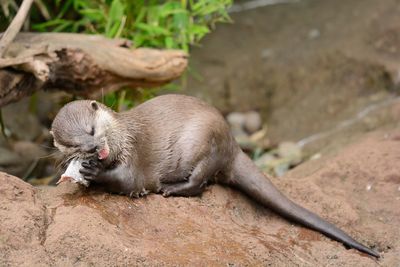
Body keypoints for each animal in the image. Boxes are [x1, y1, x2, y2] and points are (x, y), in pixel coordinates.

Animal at [51, 94, 380, 258]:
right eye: (73, 144)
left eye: (92, 130)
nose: (93, 148)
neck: (122, 136)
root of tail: (232, 142)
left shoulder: (134, 155)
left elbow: (131, 182)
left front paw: (94, 172)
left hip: (204, 143)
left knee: (200, 183)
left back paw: (171, 188)